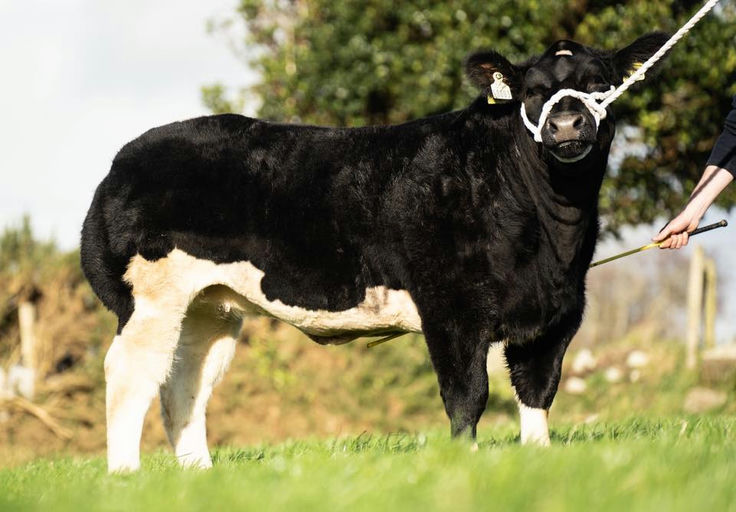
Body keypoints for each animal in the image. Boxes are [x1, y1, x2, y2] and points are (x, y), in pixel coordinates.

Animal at [81, 32, 669, 472]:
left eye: (599, 85)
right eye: (533, 92)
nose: (566, 123)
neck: (552, 238)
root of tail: (125, 158)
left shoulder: (558, 313)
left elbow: (538, 393)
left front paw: (537, 462)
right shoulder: (451, 308)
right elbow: (468, 395)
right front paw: (465, 463)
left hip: (210, 305)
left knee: (185, 383)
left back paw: (200, 475)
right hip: (151, 297)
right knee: (130, 375)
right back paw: (126, 475)